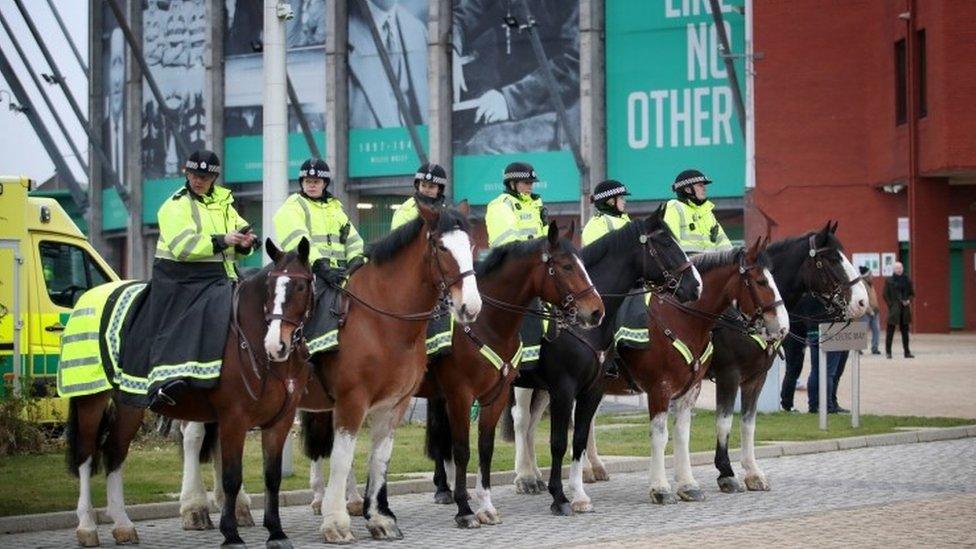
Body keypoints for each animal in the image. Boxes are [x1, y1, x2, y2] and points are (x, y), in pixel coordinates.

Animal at [65, 240, 314, 548]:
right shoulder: (234, 419)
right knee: (86, 456)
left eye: (301, 287)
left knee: (114, 452)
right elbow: (232, 477)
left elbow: (272, 477)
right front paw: (231, 534)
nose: (276, 345)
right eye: (270, 287)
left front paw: (276, 532)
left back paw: (123, 525)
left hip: (129, 405)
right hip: (91, 400)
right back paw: (87, 526)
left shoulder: (280, 422)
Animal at [310, 203, 482, 540]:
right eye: (442, 247)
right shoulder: (352, 400)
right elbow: (341, 458)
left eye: (470, 246)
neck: (380, 318)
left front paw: (379, 518)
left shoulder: (394, 403)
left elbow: (379, 457)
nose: (470, 307)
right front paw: (335, 522)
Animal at [418, 220, 604, 528]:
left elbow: (486, 448)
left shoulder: (499, 394)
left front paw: (485, 506)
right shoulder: (462, 396)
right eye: (567, 266)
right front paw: (465, 508)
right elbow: (464, 449)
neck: (485, 324)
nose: (596, 311)